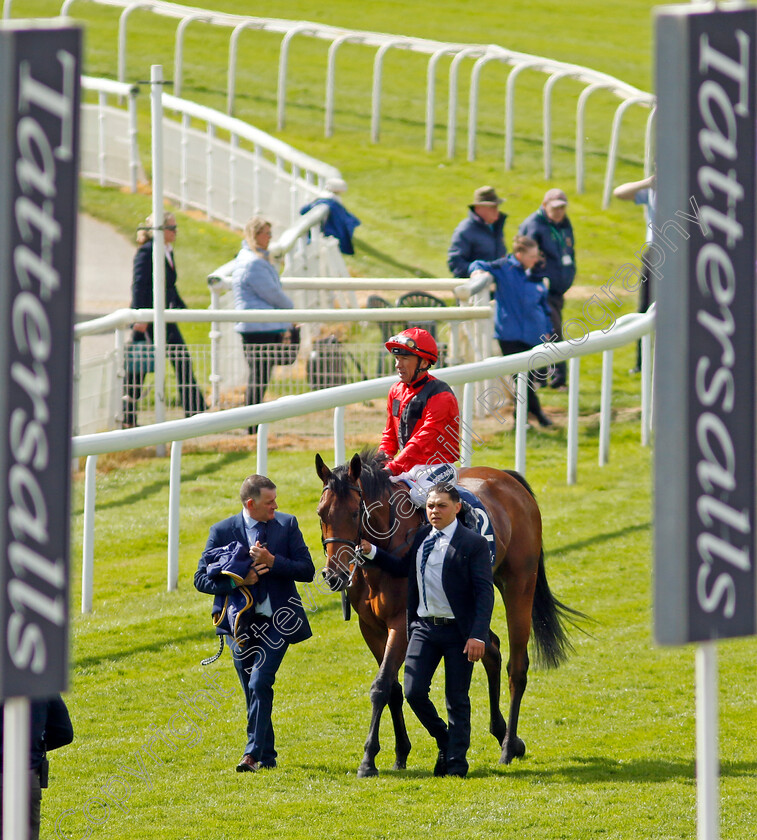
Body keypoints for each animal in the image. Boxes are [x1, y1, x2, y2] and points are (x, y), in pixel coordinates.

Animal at [316, 450, 580, 776]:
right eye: (321, 513)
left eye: (355, 513)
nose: (333, 575)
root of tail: (508, 478)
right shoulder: (370, 627)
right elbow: (393, 687)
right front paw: (401, 753)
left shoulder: (400, 624)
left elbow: (381, 686)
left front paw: (368, 760)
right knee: (491, 648)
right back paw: (503, 734)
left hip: (519, 584)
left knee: (517, 668)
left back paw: (508, 747)